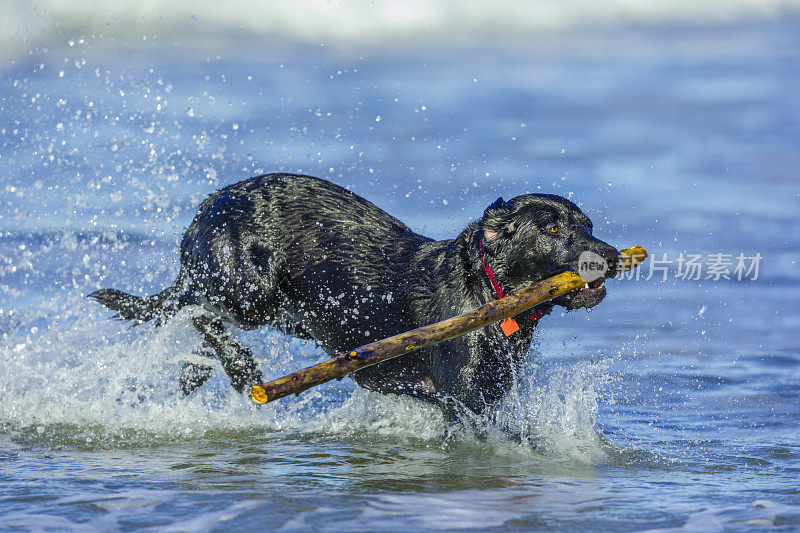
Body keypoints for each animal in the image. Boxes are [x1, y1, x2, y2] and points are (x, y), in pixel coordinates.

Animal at [92, 175, 620, 424]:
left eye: (588, 226)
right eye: (551, 230)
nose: (611, 256)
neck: (488, 295)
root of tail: (206, 206)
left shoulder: (489, 395)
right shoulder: (463, 399)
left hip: (295, 312)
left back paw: (197, 369)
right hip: (247, 289)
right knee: (196, 307)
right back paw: (239, 368)